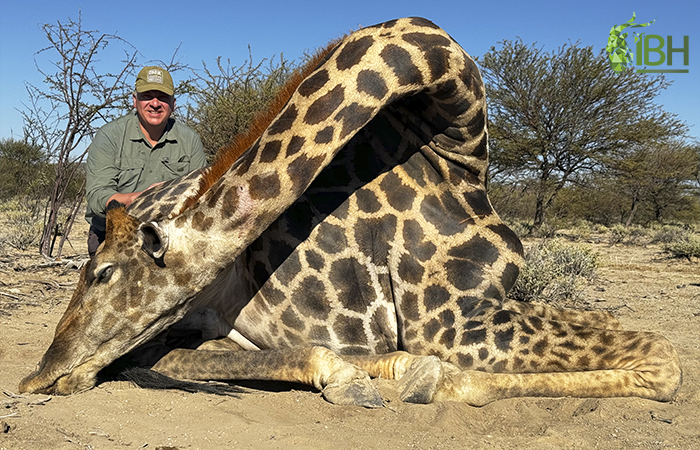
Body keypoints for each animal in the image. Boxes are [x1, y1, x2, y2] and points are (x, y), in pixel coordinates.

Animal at [17, 17, 684, 406]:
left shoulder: (484, 307)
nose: (38, 376)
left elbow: (659, 351)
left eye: (103, 274)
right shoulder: (451, 325)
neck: (460, 149)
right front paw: (434, 380)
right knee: (156, 357)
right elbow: (663, 357)